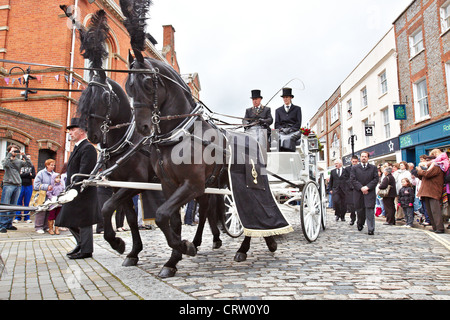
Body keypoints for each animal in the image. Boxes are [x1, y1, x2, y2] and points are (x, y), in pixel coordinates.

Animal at [118, 0, 278, 278]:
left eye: (148, 83)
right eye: (128, 85)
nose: (142, 127)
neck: (178, 136)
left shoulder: (192, 184)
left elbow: (161, 215)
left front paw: (185, 248)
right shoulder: (169, 186)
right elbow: (169, 220)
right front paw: (173, 259)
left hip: (240, 188)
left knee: (250, 214)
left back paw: (244, 248)